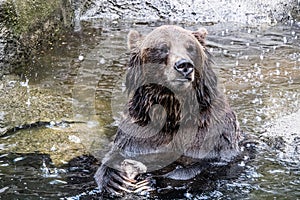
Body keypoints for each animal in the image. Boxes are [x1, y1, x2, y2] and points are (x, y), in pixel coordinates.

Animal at [95, 25, 243, 197]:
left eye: (190, 47)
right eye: (162, 48)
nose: (184, 65)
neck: (173, 113)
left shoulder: (214, 133)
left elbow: (203, 165)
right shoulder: (138, 133)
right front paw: (116, 179)